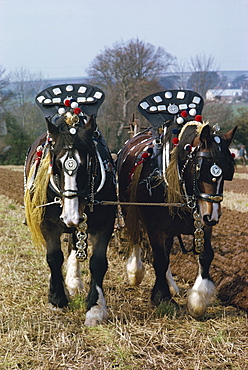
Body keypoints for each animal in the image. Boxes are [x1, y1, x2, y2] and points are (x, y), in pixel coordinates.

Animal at [24, 83, 116, 324]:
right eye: (55, 164)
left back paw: (74, 281)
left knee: (75, 244)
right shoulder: (48, 222)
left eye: (88, 163)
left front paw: (95, 308)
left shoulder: (105, 223)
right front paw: (57, 298)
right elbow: (54, 257)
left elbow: (98, 262)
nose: (71, 216)